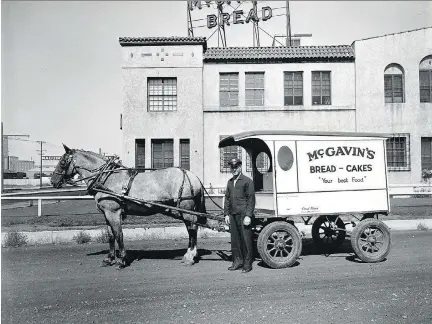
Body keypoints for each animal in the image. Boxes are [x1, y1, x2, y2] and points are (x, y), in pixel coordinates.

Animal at [50, 144, 219, 268]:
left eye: (62, 162)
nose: (53, 181)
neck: (107, 178)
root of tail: (193, 176)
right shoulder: (106, 213)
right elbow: (110, 235)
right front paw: (109, 259)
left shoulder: (114, 212)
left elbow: (119, 235)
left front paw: (122, 260)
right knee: (192, 228)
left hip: (187, 209)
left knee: (192, 229)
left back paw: (189, 256)